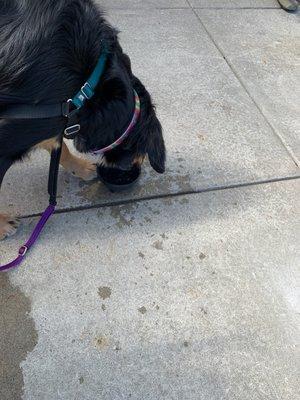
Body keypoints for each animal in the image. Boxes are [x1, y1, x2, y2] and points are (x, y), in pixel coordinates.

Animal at [0, 0, 165, 241]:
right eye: (138, 155)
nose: (131, 169)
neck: (88, 87)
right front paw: (1, 224)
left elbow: (58, 145)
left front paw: (79, 166)